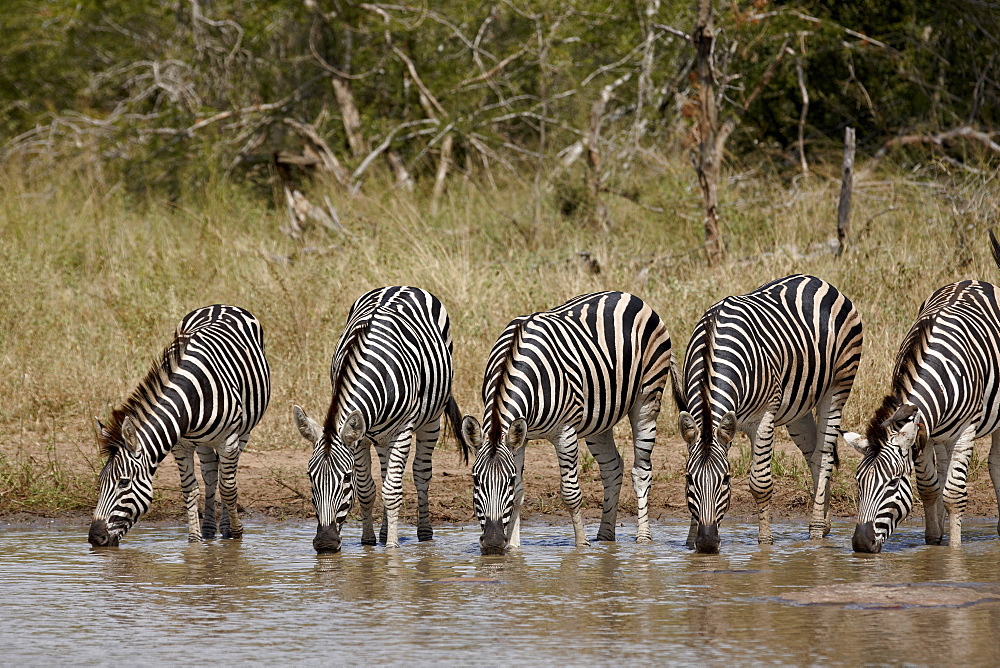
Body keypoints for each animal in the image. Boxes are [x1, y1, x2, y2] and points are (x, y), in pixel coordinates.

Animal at [87, 306, 270, 548]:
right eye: (100, 481)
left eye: (124, 483)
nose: (95, 538)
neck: (191, 398)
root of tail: (220, 305)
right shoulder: (180, 445)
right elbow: (190, 490)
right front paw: (194, 542)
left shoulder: (228, 440)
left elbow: (229, 489)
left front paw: (237, 534)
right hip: (202, 441)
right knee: (210, 474)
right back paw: (209, 530)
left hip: (243, 432)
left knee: (225, 478)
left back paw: (225, 528)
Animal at [292, 284, 468, 552]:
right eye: (310, 477)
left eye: (346, 477)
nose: (325, 543)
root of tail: (401, 284)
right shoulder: (360, 438)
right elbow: (367, 490)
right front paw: (369, 542)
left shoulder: (403, 430)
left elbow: (392, 492)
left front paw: (392, 549)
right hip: (382, 435)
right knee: (386, 475)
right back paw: (384, 533)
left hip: (431, 419)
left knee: (421, 473)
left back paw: (424, 533)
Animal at [458, 290, 680, 556]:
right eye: (475, 480)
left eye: (507, 480)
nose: (491, 543)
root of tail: (629, 295)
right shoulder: (520, 437)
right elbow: (520, 492)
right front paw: (512, 548)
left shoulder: (565, 433)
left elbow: (570, 493)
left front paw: (581, 547)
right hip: (599, 419)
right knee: (612, 468)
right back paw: (605, 536)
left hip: (647, 399)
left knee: (641, 471)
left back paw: (643, 539)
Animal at [680, 276, 868, 552]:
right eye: (689, 480)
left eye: (726, 480)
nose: (707, 542)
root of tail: (818, 280)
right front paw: (690, 541)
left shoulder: (763, 417)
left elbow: (760, 483)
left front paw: (766, 542)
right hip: (799, 407)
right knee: (813, 453)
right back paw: (825, 523)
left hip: (838, 385)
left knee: (824, 456)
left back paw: (816, 529)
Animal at [848, 232, 1000, 552]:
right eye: (858, 482)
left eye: (893, 483)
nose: (862, 544)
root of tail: (972, 279)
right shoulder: (922, 433)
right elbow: (930, 489)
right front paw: (932, 543)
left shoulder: (966, 429)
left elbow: (954, 494)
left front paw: (953, 552)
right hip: (941, 435)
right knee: (942, 470)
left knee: (994, 463)